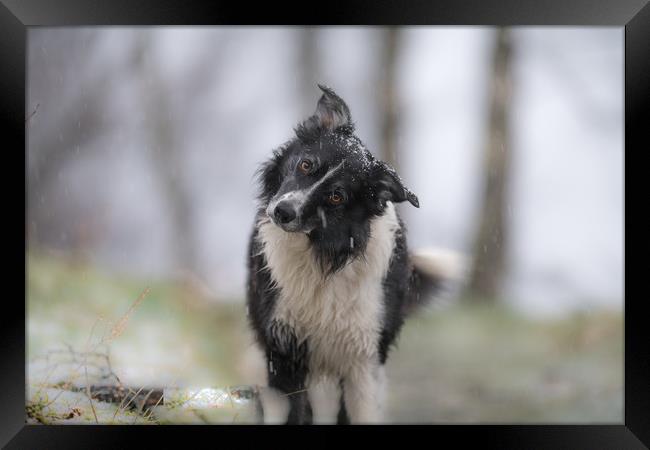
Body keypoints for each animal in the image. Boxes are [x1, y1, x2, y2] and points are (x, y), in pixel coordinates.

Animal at [246, 85, 454, 426]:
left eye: (336, 196)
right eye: (306, 164)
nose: (282, 212)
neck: (322, 257)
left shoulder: (364, 359)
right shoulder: (285, 351)